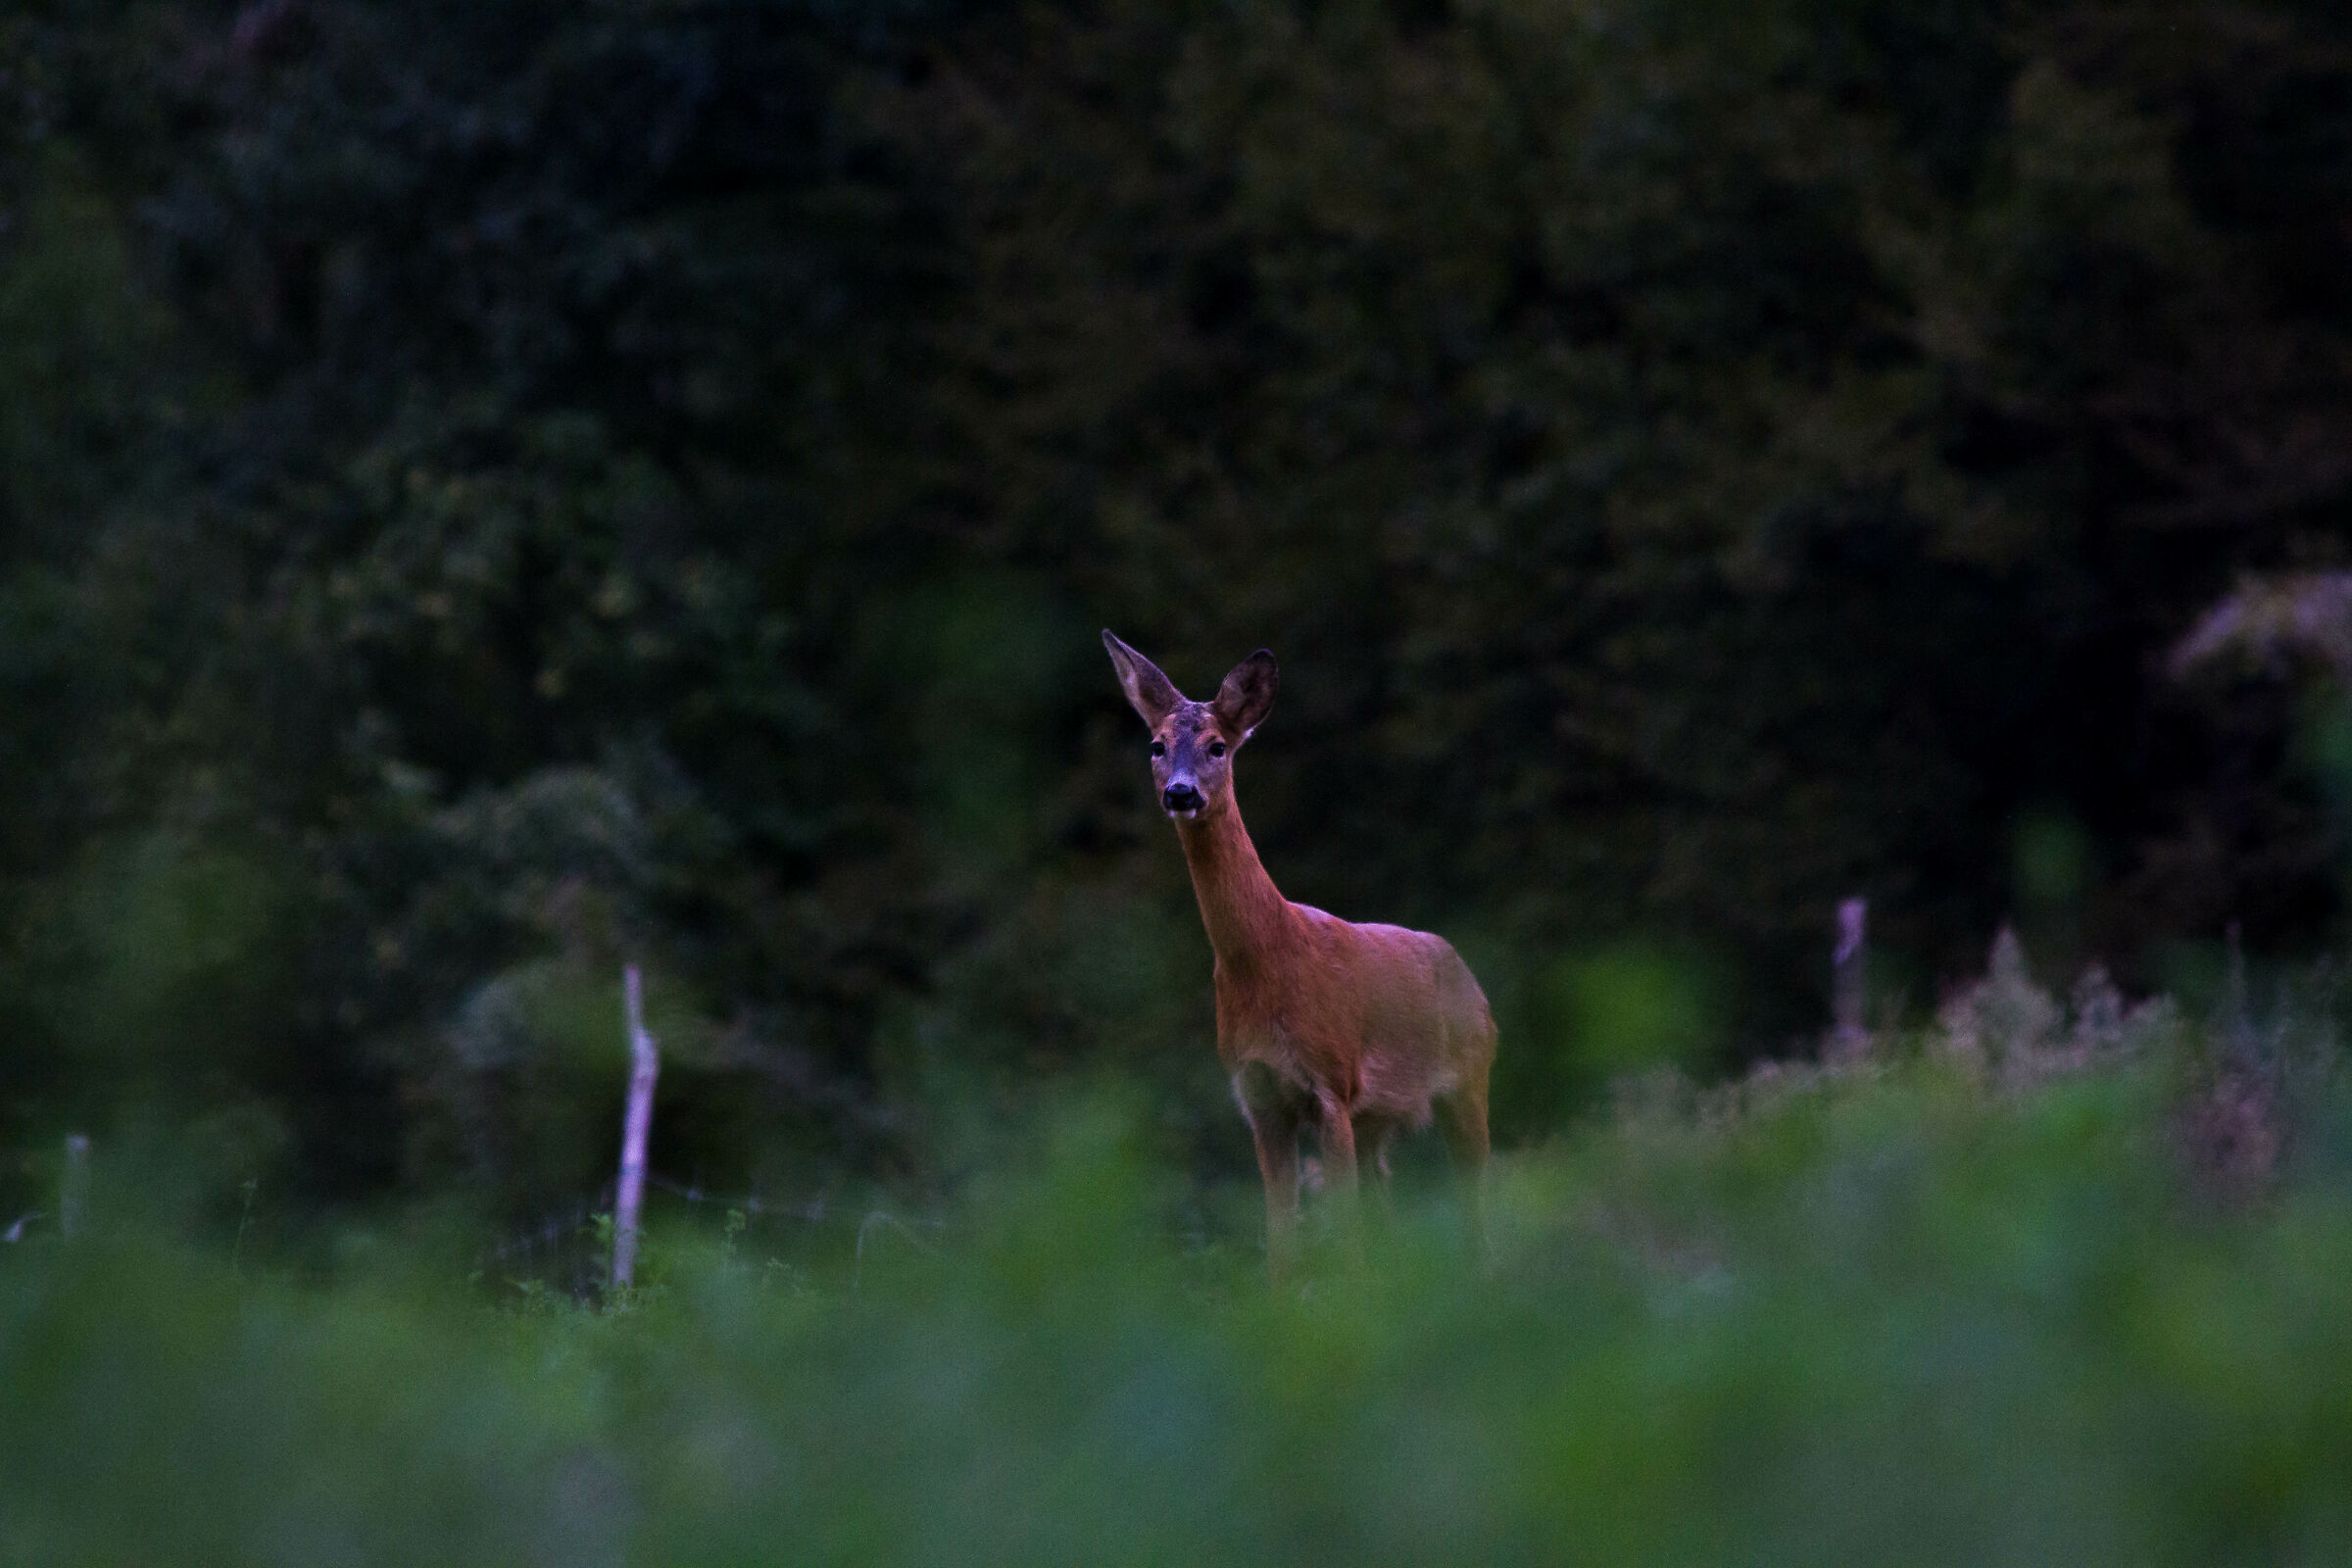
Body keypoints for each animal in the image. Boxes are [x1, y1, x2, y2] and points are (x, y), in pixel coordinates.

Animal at [1103, 631, 1496, 1277]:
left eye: (1217, 746)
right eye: (1156, 745)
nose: (1180, 792)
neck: (1267, 962)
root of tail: (1472, 981)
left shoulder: (1332, 1084)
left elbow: (1343, 1234)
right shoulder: (1257, 1095)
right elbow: (1281, 1239)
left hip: (1468, 1077)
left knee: (1475, 1205)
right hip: (1380, 1119)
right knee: (1390, 1208)